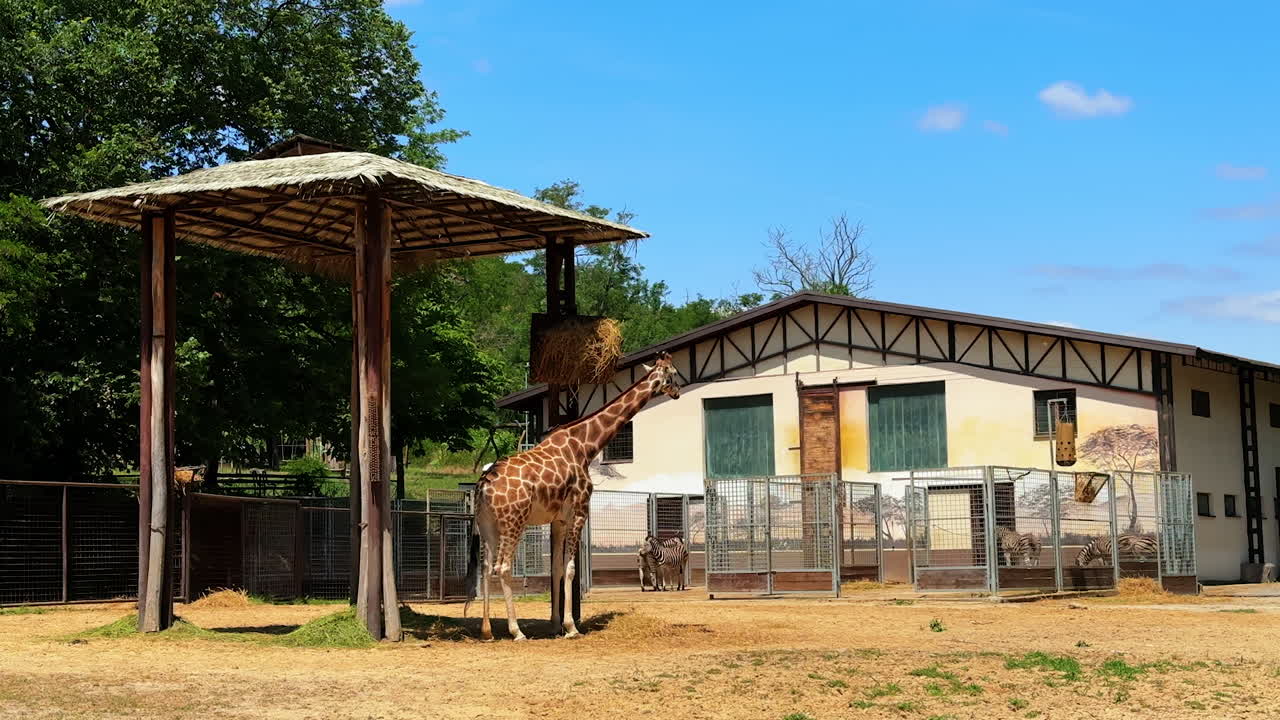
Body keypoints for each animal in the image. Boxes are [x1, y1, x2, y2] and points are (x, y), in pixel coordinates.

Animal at [465, 352, 682, 640]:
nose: (678, 392)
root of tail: (484, 483)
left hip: (488, 524)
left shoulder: (558, 519)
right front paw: (571, 627)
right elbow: (570, 570)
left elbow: (556, 569)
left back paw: (487, 631)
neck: (585, 446)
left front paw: (555, 624)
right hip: (514, 522)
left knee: (487, 568)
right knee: (503, 567)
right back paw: (516, 631)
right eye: (673, 374)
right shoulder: (579, 512)